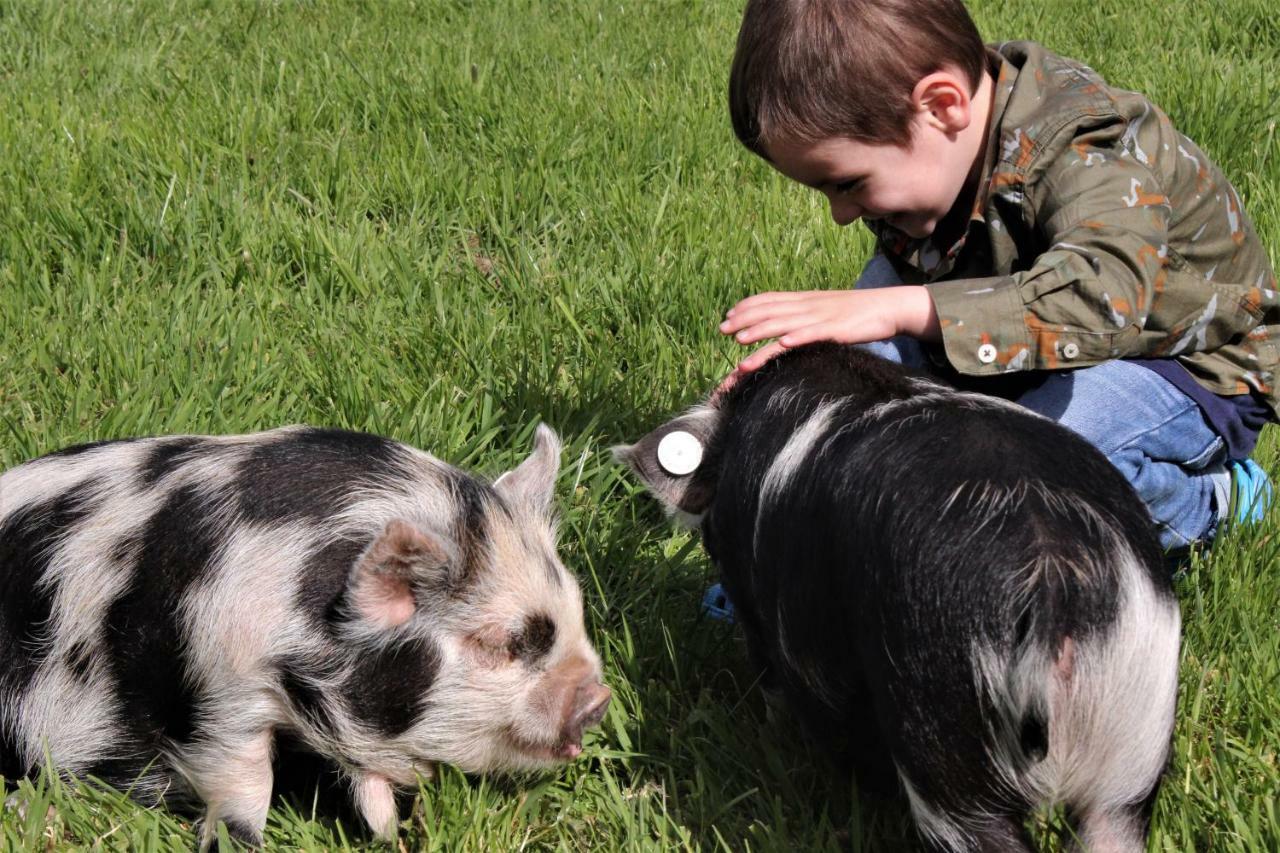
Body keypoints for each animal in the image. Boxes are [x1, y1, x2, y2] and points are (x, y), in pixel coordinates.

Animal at [0, 425, 609, 845]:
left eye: (577, 609)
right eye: (503, 643)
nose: (598, 698)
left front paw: (394, 834)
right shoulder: (221, 687)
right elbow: (243, 781)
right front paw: (238, 842)